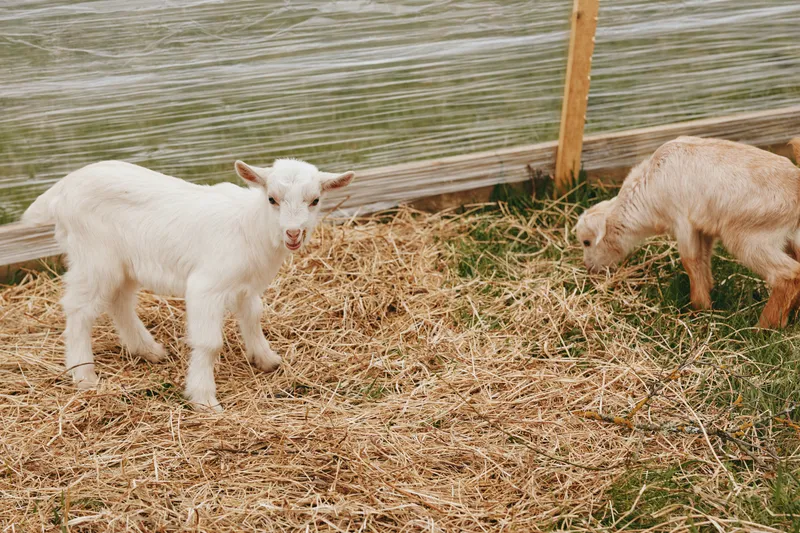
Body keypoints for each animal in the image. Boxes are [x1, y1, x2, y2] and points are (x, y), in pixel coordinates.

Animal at [22, 159, 354, 411]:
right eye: (272, 199)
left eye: (315, 200)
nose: (293, 234)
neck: (250, 225)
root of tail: (62, 188)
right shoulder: (206, 286)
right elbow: (209, 343)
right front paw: (204, 399)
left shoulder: (246, 286)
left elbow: (253, 317)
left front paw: (266, 359)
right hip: (94, 256)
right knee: (79, 309)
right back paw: (84, 376)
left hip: (124, 263)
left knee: (120, 301)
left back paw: (148, 350)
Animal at [575, 136, 800, 329]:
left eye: (586, 242)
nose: (589, 268)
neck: (647, 187)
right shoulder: (704, 227)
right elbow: (703, 259)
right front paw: (707, 296)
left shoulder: (682, 221)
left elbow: (690, 260)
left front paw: (698, 308)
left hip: (748, 239)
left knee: (788, 276)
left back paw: (763, 327)